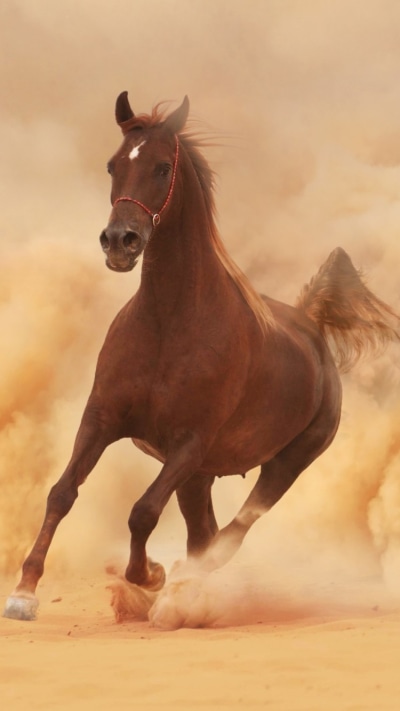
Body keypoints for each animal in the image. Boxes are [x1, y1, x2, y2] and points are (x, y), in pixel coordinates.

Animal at [4, 93, 399, 621]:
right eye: (113, 164)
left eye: (162, 167)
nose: (120, 241)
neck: (168, 323)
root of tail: (311, 324)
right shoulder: (102, 419)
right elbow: (61, 493)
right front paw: (24, 593)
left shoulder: (189, 443)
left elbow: (143, 511)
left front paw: (151, 574)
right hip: (201, 477)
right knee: (204, 532)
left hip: (285, 463)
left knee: (230, 535)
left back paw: (182, 591)